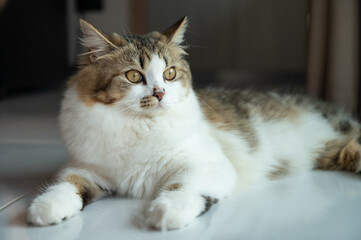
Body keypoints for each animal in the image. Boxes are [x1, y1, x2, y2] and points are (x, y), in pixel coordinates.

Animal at [26, 16, 360, 231]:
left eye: (170, 74)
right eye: (134, 76)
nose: (160, 93)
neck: (138, 127)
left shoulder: (206, 163)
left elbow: (182, 186)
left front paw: (166, 212)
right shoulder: (87, 168)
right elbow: (66, 186)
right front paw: (45, 209)